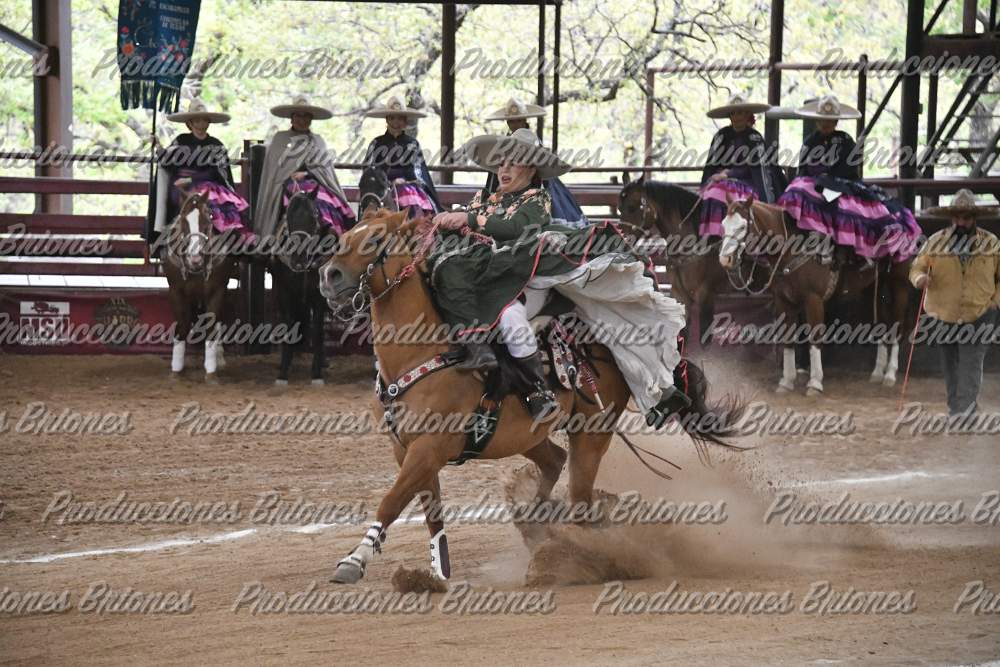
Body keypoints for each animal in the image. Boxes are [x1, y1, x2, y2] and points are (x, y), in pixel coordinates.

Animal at [161, 191, 237, 382]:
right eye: (183, 219)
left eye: (208, 219)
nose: (195, 258)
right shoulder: (175, 291)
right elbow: (182, 326)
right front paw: (176, 370)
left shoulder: (218, 290)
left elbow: (211, 325)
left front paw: (211, 371)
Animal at [270, 187, 338, 385]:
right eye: (288, 216)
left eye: (313, 215)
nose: (298, 259)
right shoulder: (285, 294)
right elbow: (289, 326)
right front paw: (283, 373)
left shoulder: (319, 298)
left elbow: (318, 331)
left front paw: (316, 374)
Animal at [317, 208, 745, 585]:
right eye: (346, 235)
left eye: (375, 240)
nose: (329, 276)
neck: (423, 353)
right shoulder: (408, 449)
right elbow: (431, 510)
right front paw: (437, 571)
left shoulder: (429, 448)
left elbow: (391, 501)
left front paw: (353, 561)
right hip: (526, 435)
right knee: (554, 461)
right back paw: (539, 524)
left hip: (591, 433)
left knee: (580, 499)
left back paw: (576, 555)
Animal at [717, 195, 914, 396]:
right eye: (724, 224)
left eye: (742, 227)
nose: (725, 259)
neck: (792, 249)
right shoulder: (783, 301)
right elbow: (788, 339)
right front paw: (786, 381)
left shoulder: (814, 300)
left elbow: (814, 337)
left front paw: (814, 383)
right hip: (872, 287)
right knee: (882, 322)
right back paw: (877, 373)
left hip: (899, 284)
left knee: (898, 323)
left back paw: (890, 374)